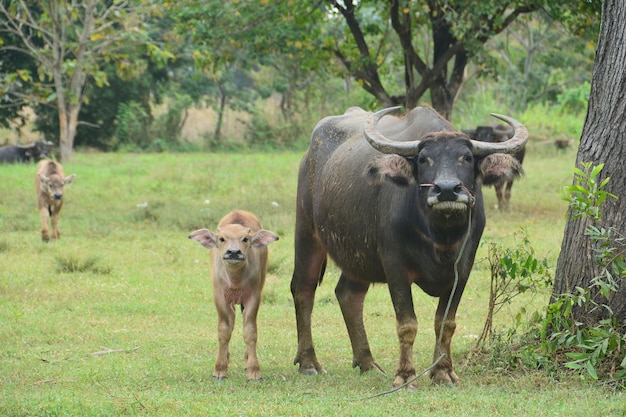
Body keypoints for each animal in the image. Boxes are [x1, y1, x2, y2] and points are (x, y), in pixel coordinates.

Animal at [188, 210, 278, 378]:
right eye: (222, 239)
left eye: (245, 239)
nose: (234, 252)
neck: (235, 280)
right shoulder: (220, 297)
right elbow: (224, 330)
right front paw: (219, 369)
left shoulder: (254, 297)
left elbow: (250, 331)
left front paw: (254, 370)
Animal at [290, 105, 524, 386]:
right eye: (423, 159)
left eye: (467, 157)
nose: (447, 189)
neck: (440, 235)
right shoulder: (395, 266)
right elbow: (407, 324)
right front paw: (405, 375)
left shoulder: (464, 268)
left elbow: (446, 323)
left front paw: (443, 372)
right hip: (307, 231)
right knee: (303, 289)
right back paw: (308, 362)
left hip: (358, 255)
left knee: (348, 294)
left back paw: (367, 362)